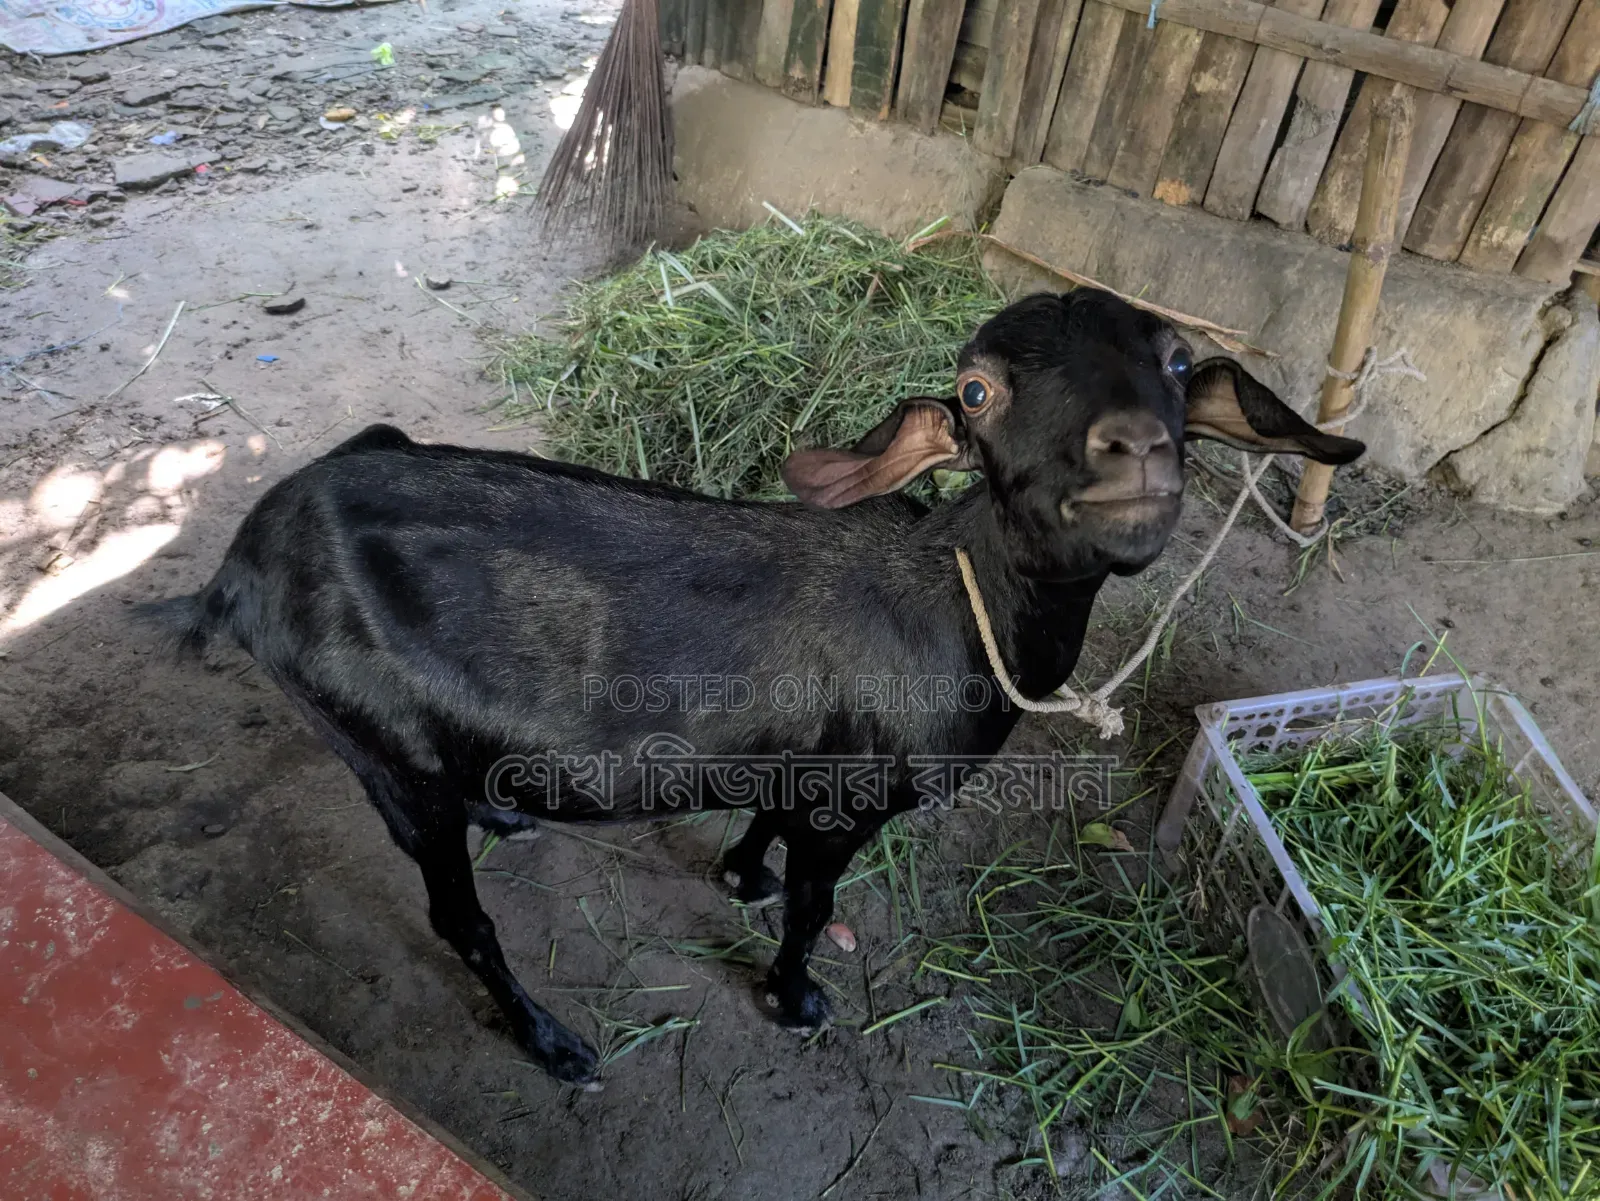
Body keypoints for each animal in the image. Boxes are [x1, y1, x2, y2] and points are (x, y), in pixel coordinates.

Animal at [144, 288, 1362, 1086]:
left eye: (1176, 362)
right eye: (975, 390)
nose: (1134, 452)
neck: (956, 600)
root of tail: (237, 568)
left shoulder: (796, 756)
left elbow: (766, 824)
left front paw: (740, 874)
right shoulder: (849, 798)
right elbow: (819, 903)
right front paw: (795, 995)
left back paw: (508, 810)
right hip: (382, 745)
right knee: (456, 914)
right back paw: (554, 1043)